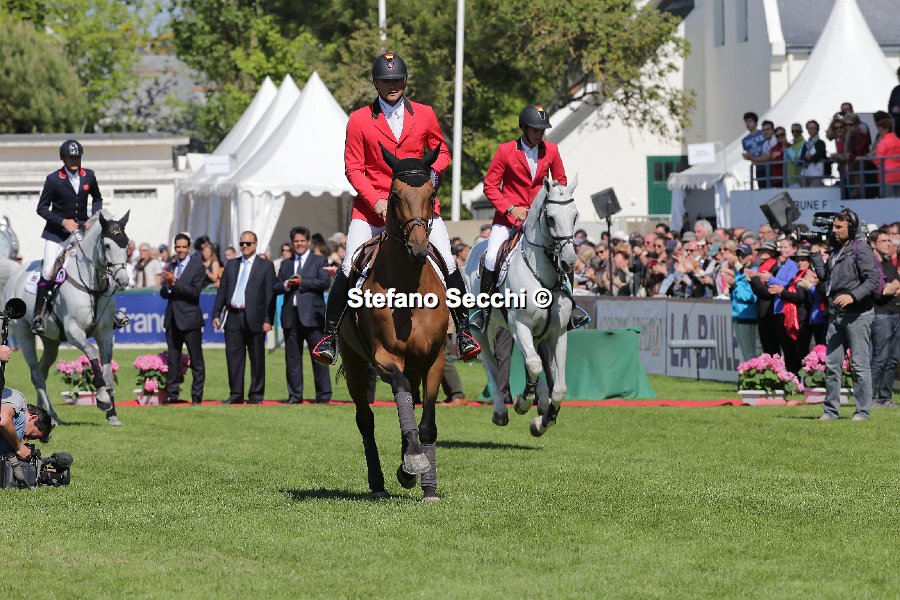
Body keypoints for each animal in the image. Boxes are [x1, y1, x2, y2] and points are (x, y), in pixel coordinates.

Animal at [2, 211, 131, 426]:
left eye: (126, 243)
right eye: (107, 245)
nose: (123, 281)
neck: (92, 285)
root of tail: (15, 275)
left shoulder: (105, 334)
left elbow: (107, 371)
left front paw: (112, 415)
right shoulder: (74, 332)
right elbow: (92, 352)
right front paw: (103, 399)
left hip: (51, 342)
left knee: (42, 371)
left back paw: (43, 412)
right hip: (24, 334)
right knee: (36, 374)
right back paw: (52, 415)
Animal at [338, 144, 450, 502]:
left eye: (431, 194)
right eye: (395, 195)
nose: (417, 249)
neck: (409, 289)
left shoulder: (434, 358)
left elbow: (427, 422)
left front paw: (428, 485)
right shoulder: (385, 357)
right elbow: (399, 393)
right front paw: (411, 461)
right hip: (355, 365)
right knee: (365, 419)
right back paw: (378, 483)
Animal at [464, 176, 579, 436]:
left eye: (575, 216)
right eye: (551, 218)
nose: (569, 262)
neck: (544, 273)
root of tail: (476, 246)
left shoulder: (557, 333)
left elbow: (559, 386)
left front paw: (543, 421)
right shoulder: (521, 325)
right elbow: (534, 365)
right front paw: (523, 401)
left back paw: (542, 401)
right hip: (481, 329)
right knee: (491, 364)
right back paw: (500, 410)